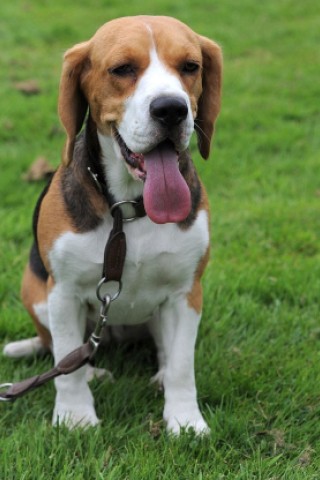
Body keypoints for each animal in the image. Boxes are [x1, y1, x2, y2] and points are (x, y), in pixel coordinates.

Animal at [3, 15, 221, 436]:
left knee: (165, 351)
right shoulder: (63, 293)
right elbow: (67, 362)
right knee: (63, 351)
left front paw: (185, 421)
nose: (171, 110)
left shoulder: (187, 292)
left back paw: (160, 376)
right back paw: (92, 373)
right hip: (35, 292)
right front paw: (75, 417)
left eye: (190, 66)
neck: (127, 207)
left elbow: (183, 365)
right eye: (122, 69)